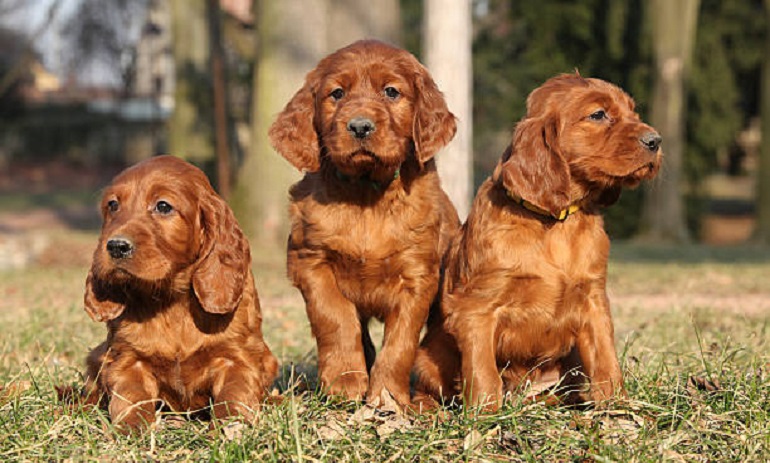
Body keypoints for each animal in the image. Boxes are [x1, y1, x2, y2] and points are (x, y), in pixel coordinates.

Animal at [82, 156, 280, 432]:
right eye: (113, 205)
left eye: (163, 206)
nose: (115, 246)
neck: (172, 300)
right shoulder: (127, 360)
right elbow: (131, 397)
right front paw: (134, 427)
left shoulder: (237, 358)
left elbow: (234, 394)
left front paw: (231, 426)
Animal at [268, 40, 460, 410]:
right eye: (337, 93)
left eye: (391, 92)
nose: (359, 126)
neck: (366, 193)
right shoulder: (311, 261)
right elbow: (336, 318)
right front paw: (345, 382)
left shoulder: (417, 276)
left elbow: (401, 341)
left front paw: (387, 395)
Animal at [414, 74, 660, 412]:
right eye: (598, 114)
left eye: (632, 112)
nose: (656, 141)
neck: (557, 222)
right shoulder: (476, 307)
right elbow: (483, 370)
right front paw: (486, 415)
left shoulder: (594, 299)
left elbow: (606, 359)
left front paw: (617, 407)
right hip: (429, 355)